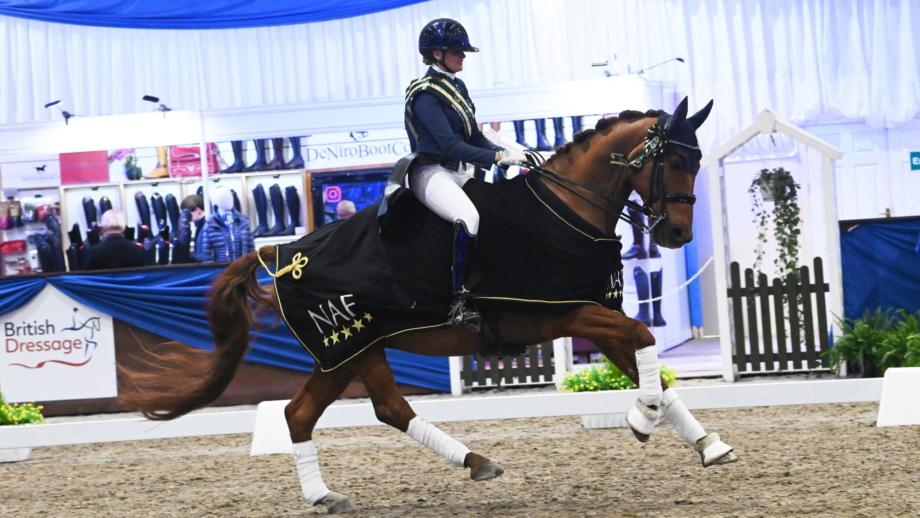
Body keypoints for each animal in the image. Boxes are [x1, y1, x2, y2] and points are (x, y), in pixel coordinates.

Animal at [120, 98, 736, 514]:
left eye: (697, 161)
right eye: (671, 162)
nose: (677, 233)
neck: (567, 211)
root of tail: (282, 254)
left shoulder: (594, 318)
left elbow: (650, 362)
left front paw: (707, 443)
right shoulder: (560, 312)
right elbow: (647, 340)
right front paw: (640, 419)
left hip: (352, 350)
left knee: (337, 411)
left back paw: (361, 488)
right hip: (348, 343)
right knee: (344, 411)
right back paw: (446, 468)